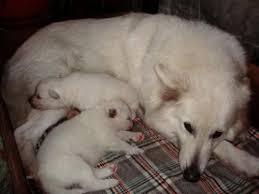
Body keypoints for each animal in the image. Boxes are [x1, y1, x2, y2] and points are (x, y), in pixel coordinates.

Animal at [1, 13, 258, 182]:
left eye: (217, 133)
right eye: (188, 127)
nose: (192, 177)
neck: (200, 62)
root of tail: (11, 60)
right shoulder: (155, 118)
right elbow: (224, 149)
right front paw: (247, 162)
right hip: (54, 100)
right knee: (21, 133)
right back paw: (33, 169)